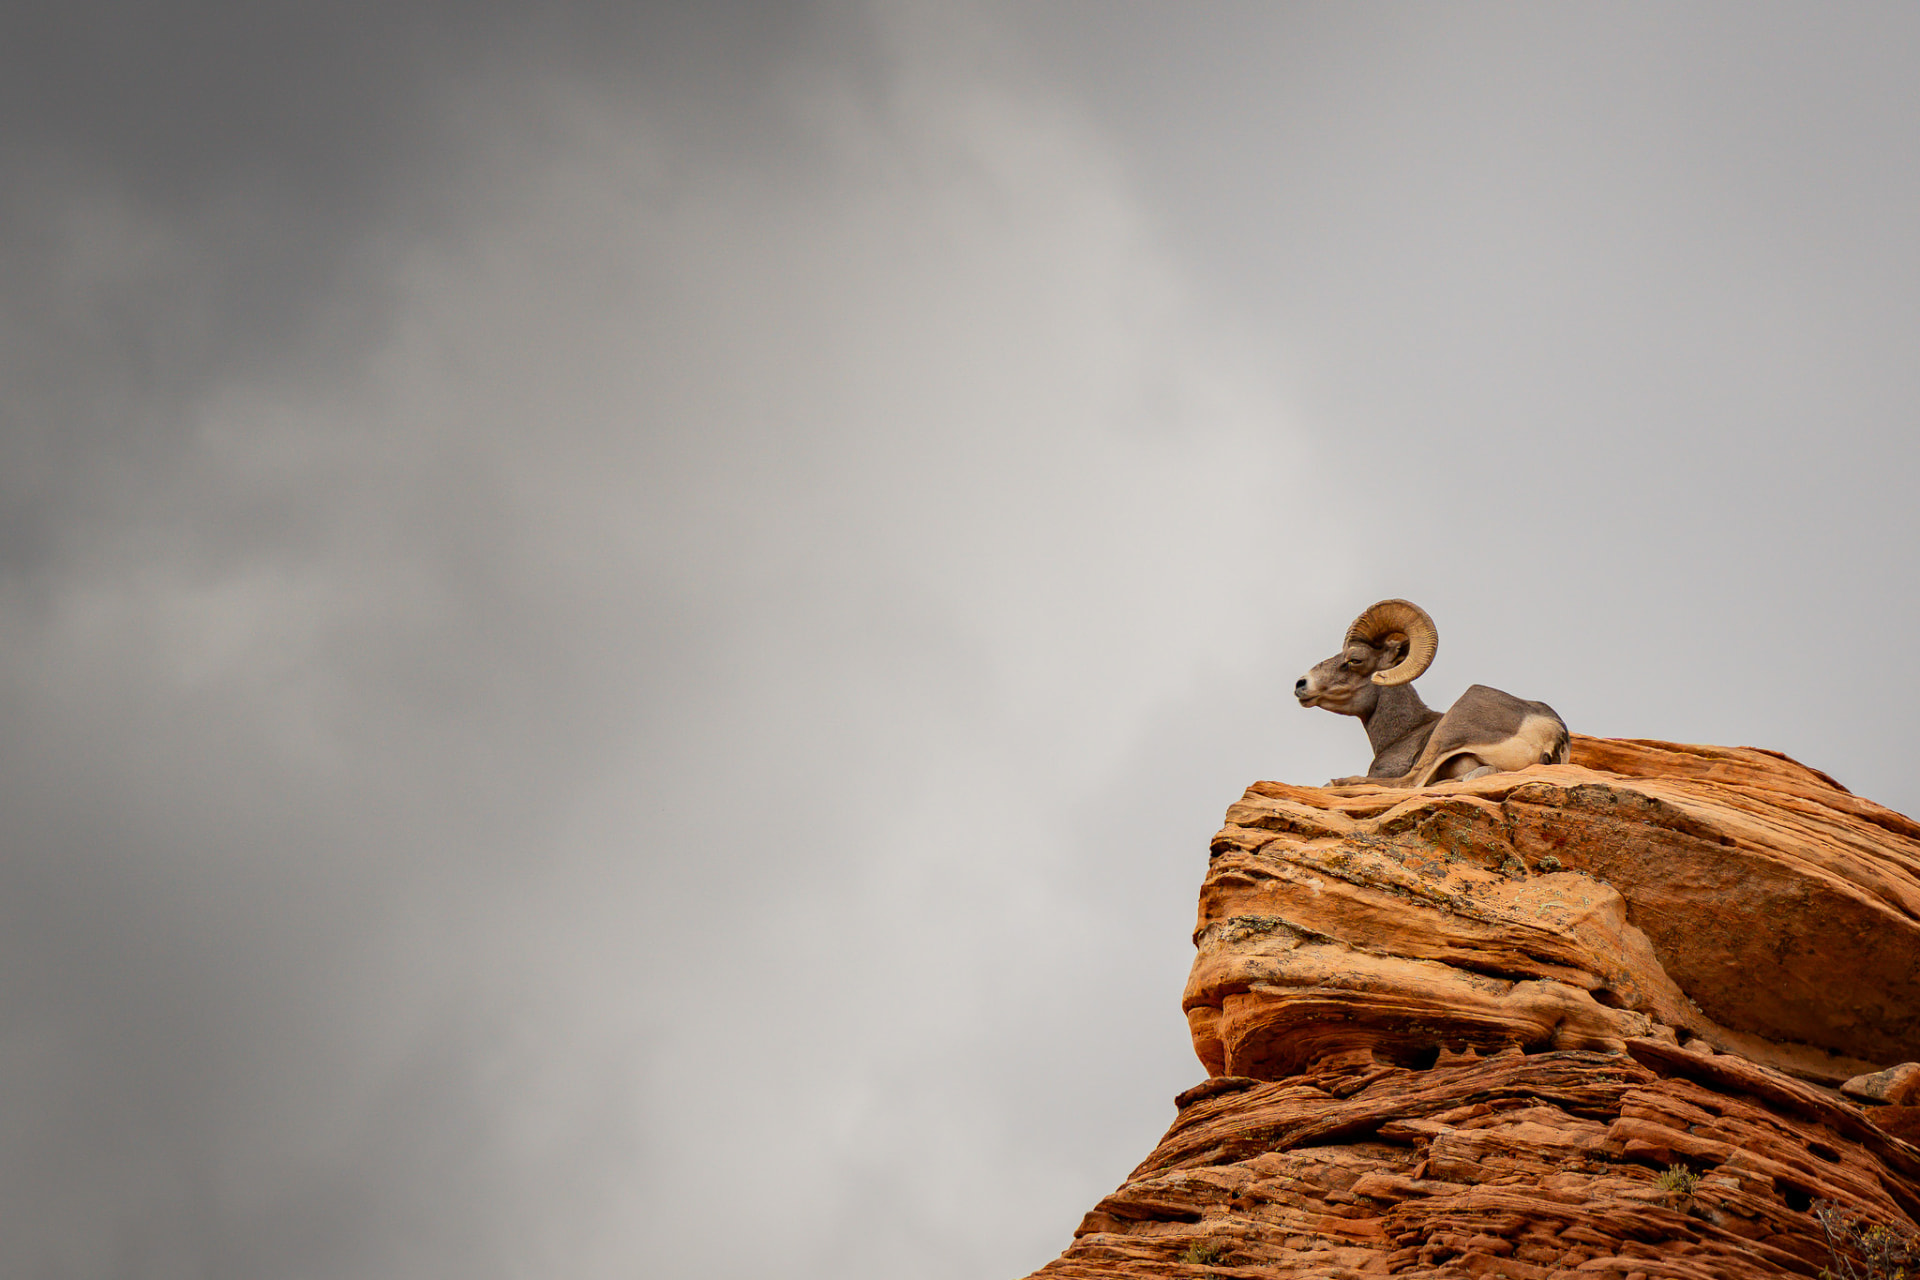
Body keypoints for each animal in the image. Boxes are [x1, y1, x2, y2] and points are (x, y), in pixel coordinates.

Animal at [1295, 599, 1569, 787]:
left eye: (1355, 659)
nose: (1301, 684)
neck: (1404, 731)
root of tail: (1554, 732)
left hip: (1454, 723)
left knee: (1411, 782)